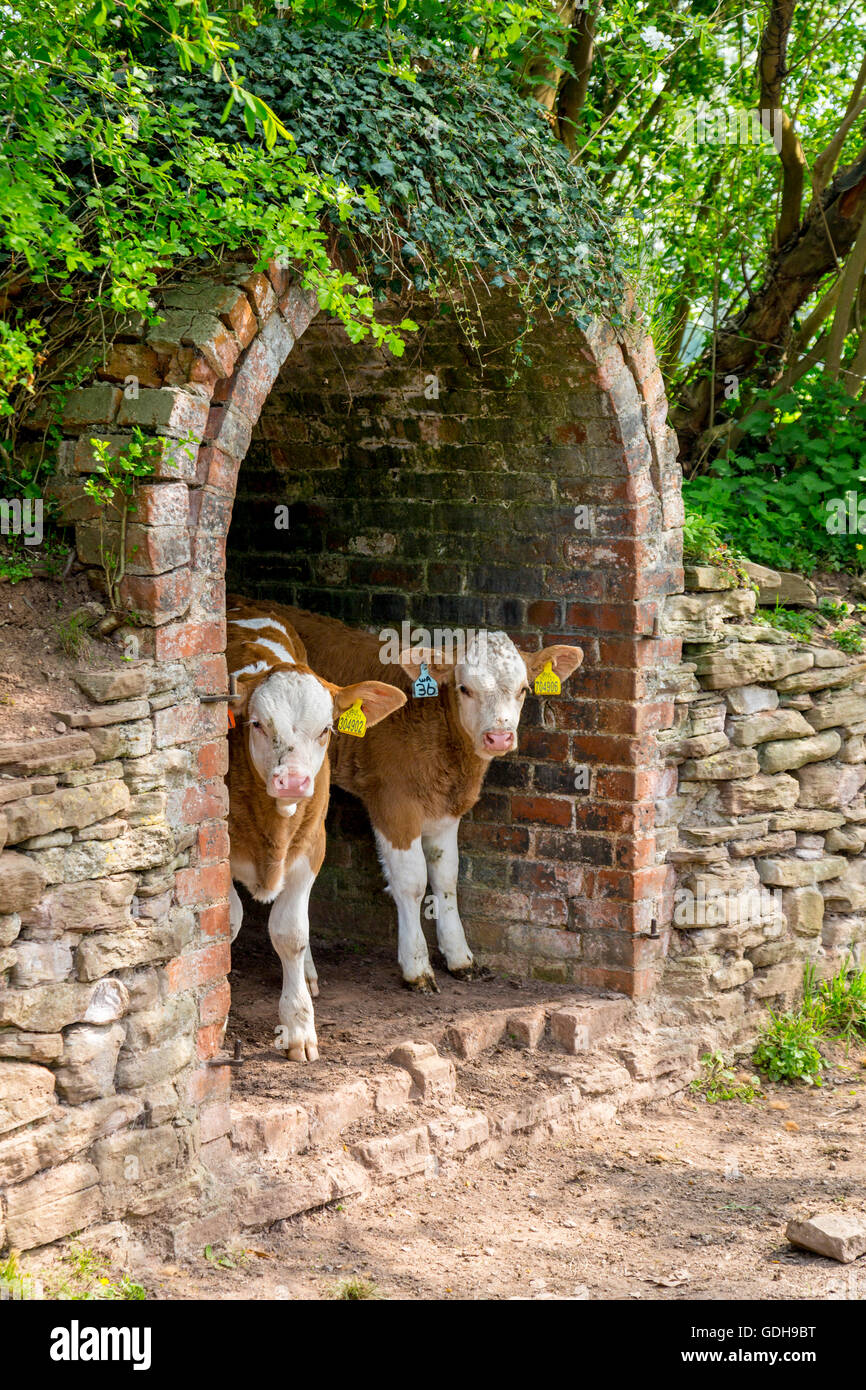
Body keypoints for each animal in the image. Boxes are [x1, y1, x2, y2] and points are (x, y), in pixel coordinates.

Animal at [226, 599, 406, 1059]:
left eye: (326, 729)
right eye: (257, 723)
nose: (292, 781)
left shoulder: (311, 846)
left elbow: (291, 932)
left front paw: (299, 1027)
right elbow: (228, 920)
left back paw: (306, 974)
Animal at [278, 604, 584, 992]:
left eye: (523, 688)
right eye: (465, 688)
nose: (499, 737)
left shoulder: (445, 809)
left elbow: (446, 876)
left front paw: (460, 957)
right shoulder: (393, 803)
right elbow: (412, 881)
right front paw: (417, 967)